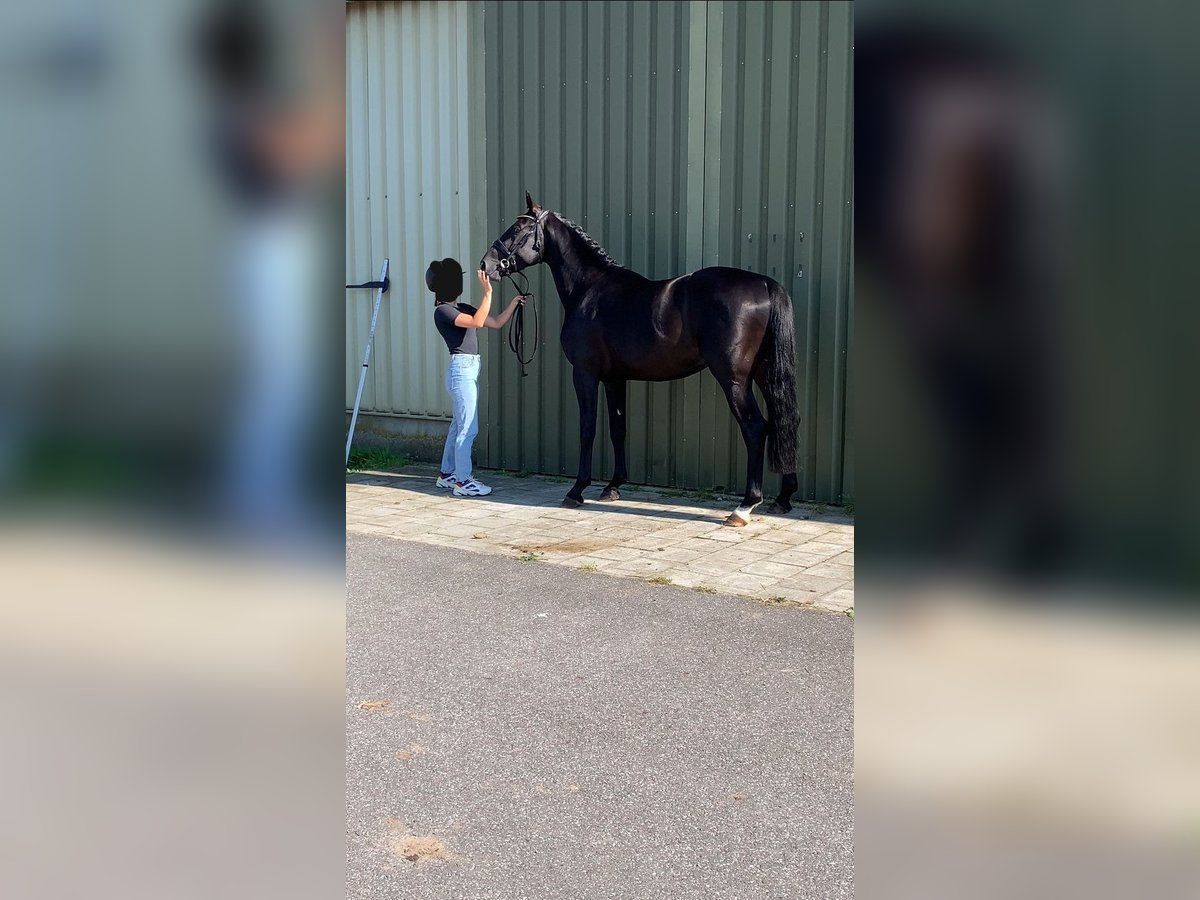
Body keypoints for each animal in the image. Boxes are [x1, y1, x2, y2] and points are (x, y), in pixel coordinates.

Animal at [477, 192, 796, 528]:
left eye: (517, 229)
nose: (485, 265)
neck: (589, 289)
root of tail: (764, 284)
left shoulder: (585, 374)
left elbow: (587, 427)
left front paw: (577, 490)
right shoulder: (615, 378)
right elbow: (618, 427)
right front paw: (613, 487)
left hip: (733, 378)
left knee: (756, 428)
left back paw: (745, 507)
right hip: (764, 373)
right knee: (783, 421)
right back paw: (782, 499)